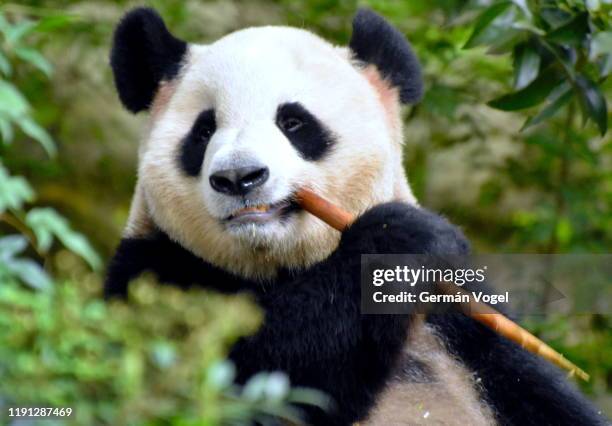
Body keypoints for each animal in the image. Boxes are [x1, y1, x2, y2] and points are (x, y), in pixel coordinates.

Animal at [105, 6, 608, 426]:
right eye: (204, 130)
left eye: (293, 122)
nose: (238, 177)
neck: (279, 267)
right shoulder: (152, 272)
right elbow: (256, 379)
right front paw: (399, 239)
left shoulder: (463, 324)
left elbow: (539, 391)